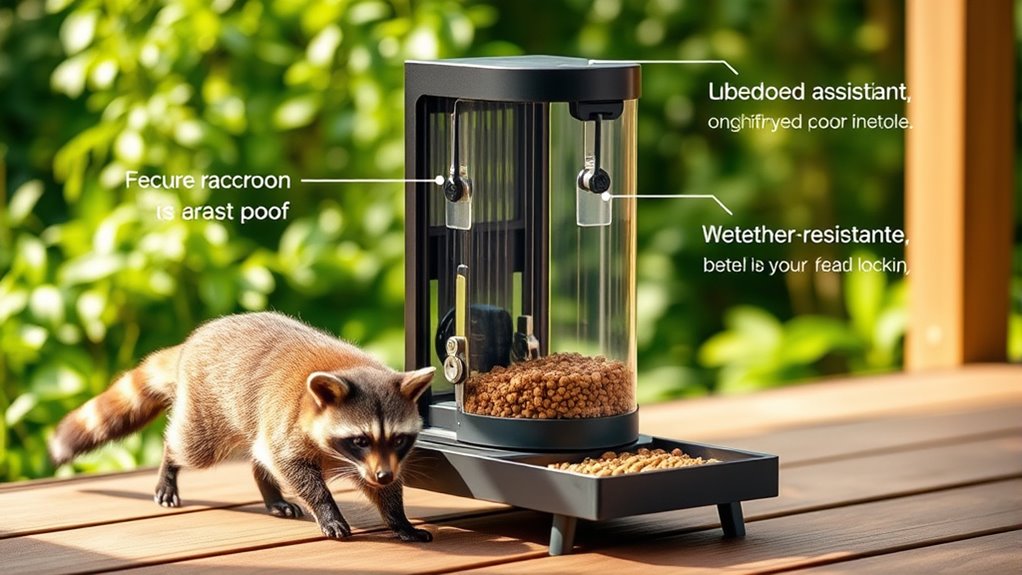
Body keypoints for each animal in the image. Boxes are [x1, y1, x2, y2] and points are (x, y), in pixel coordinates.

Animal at [49, 312, 435, 542]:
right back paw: (170, 463)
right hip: (208, 408)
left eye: (398, 440)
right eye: (360, 439)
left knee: (259, 454)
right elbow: (298, 473)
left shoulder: (376, 461)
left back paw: (268, 489)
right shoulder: (289, 425)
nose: (383, 474)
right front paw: (327, 509)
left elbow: (383, 489)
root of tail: (194, 340)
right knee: (192, 447)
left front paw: (399, 518)